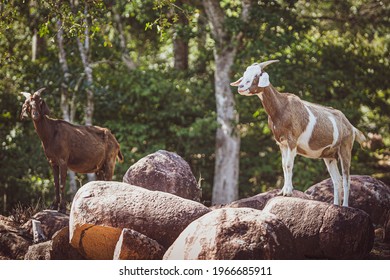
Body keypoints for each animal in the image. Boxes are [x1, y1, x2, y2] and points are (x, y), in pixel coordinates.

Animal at [230, 60, 364, 207]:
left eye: (257, 75)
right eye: (245, 74)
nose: (241, 87)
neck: (281, 107)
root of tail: (351, 127)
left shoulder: (292, 141)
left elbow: (289, 165)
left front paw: (288, 192)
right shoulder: (281, 143)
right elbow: (284, 165)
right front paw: (282, 191)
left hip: (345, 148)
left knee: (346, 178)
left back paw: (345, 206)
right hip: (329, 156)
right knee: (337, 180)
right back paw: (335, 205)